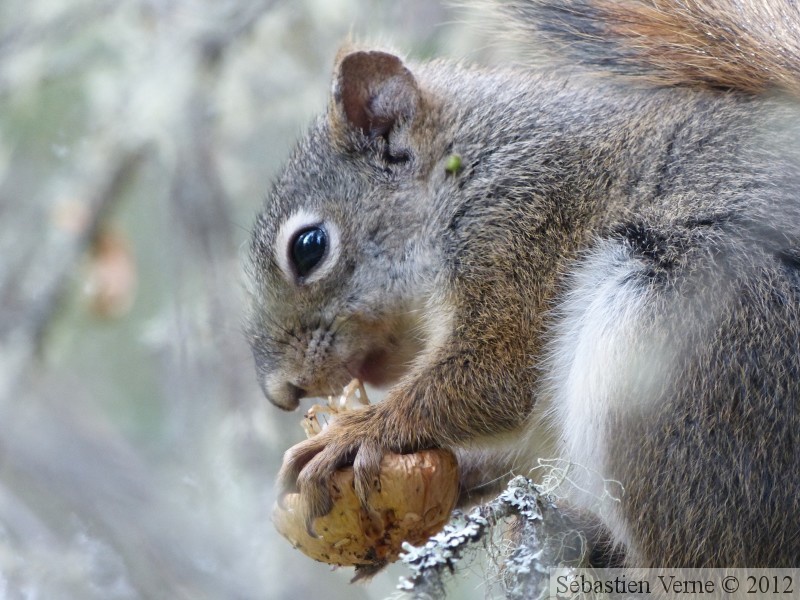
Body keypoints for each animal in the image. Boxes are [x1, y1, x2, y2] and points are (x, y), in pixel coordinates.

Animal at [247, 0, 800, 568]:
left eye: (309, 247)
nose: (281, 392)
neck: (473, 168)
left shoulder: (522, 235)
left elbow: (494, 377)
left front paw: (356, 433)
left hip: (683, 333)